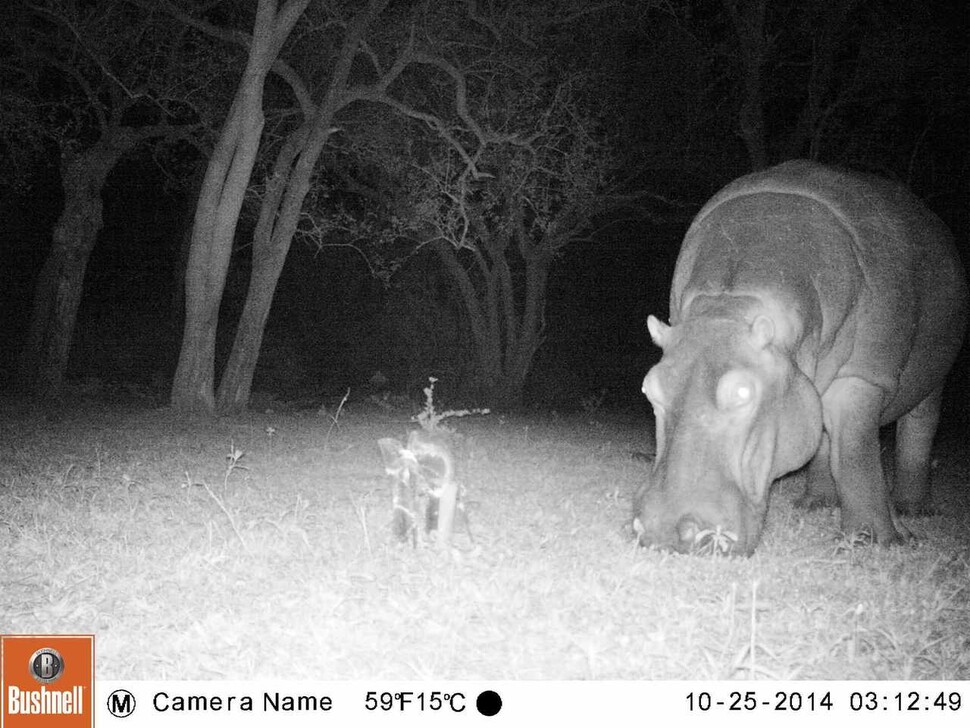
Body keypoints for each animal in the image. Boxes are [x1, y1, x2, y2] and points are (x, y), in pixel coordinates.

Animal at [636, 162, 960, 556]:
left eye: (743, 392)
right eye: (649, 389)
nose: (663, 531)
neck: (731, 306)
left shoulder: (861, 378)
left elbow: (856, 455)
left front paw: (877, 540)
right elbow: (834, 447)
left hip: (933, 378)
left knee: (919, 427)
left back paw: (913, 509)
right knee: (822, 436)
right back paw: (816, 504)